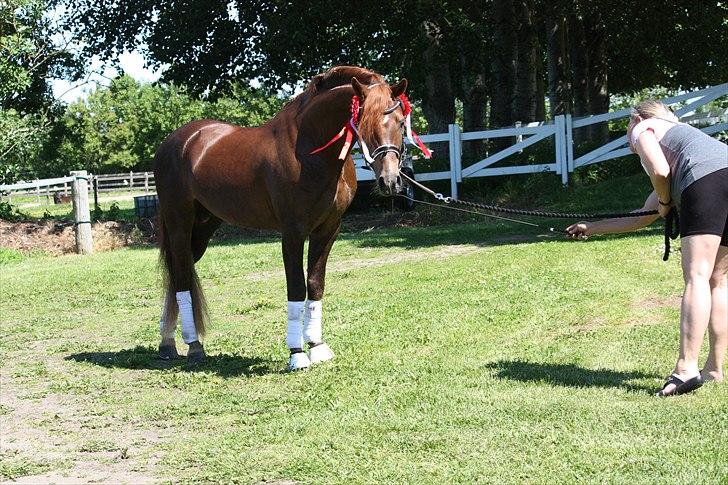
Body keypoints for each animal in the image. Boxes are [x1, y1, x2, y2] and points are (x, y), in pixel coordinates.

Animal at [153, 65, 416, 370]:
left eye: (400, 122)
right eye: (363, 123)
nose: (390, 181)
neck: (309, 151)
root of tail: (177, 141)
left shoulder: (328, 229)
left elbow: (315, 284)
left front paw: (317, 347)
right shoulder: (293, 232)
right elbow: (296, 287)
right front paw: (297, 353)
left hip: (204, 226)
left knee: (176, 274)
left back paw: (167, 343)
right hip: (179, 223)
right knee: (181, 275)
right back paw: (193, 345)